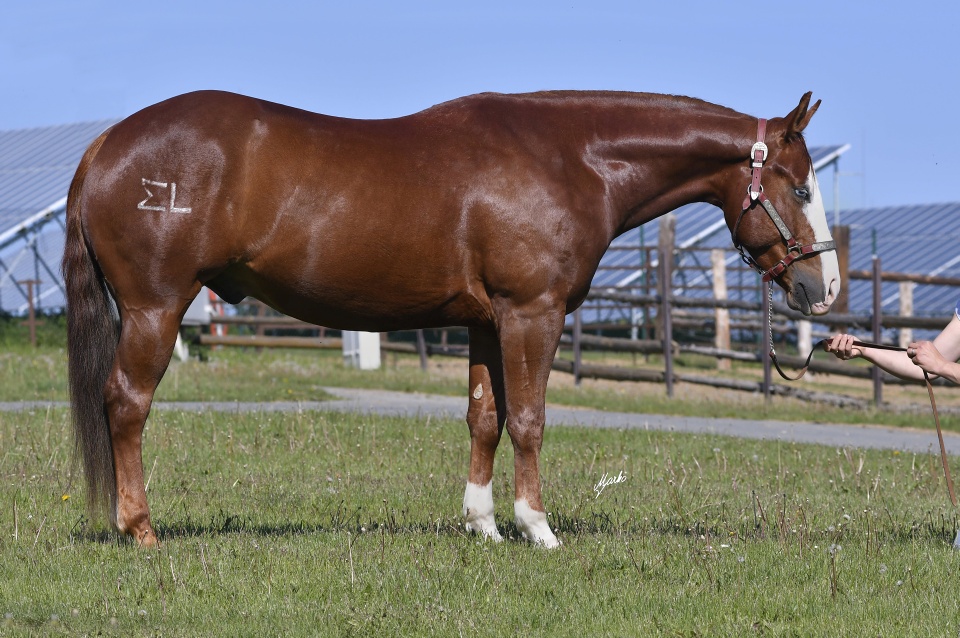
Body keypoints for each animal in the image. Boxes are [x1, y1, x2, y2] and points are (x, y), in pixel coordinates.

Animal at [62, 91, 840, 552]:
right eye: (800, 186)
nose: (823, 286)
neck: (569, 159)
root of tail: (103, 146)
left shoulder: (487, 322)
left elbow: (484, 418)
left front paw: (484, 525)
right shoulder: (532, 313)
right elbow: (528, 419)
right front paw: (538, 528)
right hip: (156, 308)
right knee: (125, 405)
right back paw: (140, 529)